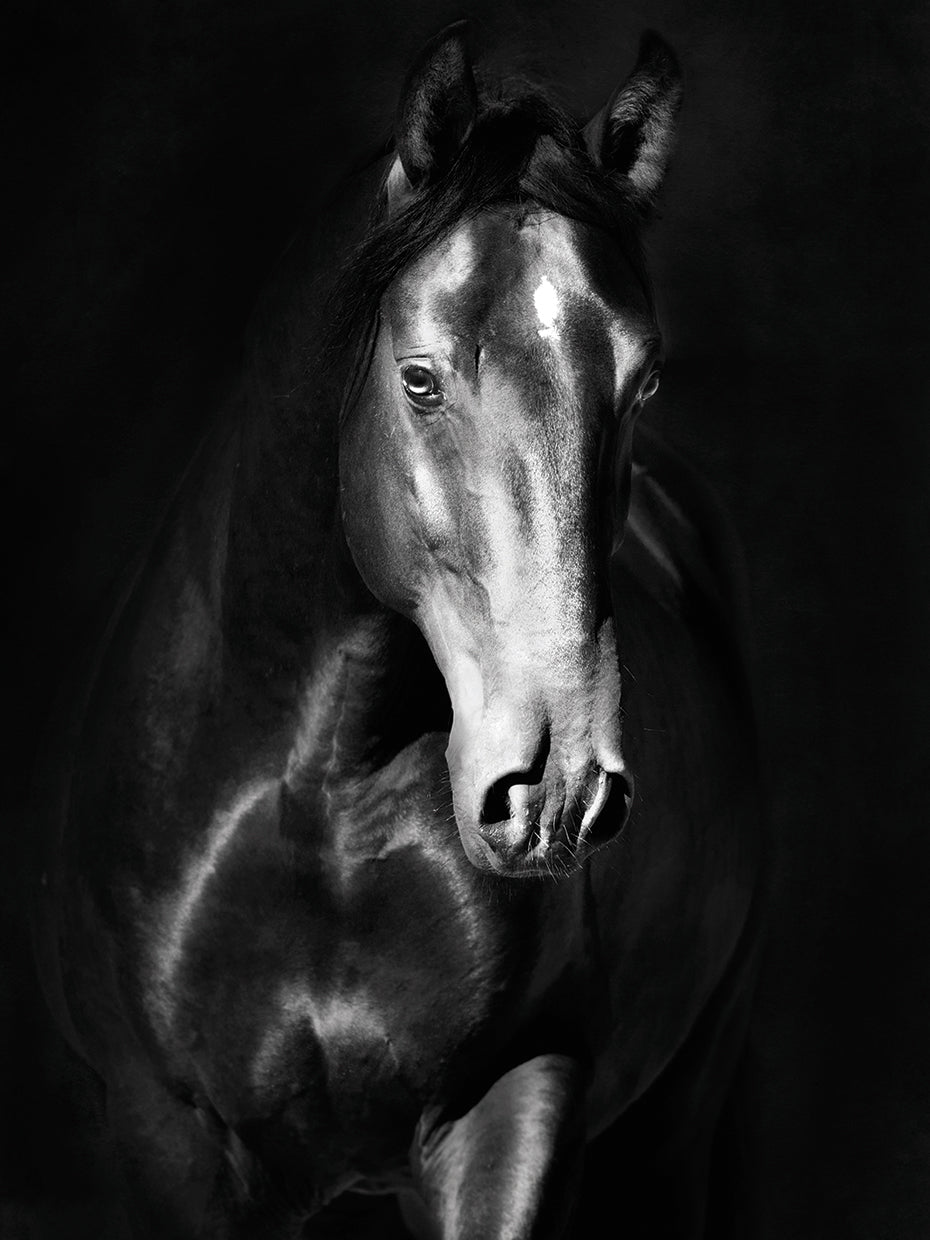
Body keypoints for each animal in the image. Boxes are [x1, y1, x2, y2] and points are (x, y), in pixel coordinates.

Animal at [30, 22, 764, 1239]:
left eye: (646, 383)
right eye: (419, 379)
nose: (556, 789)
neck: (320, 799)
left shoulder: (515, 1102)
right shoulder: (169, 1137)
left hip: (680, 1118)